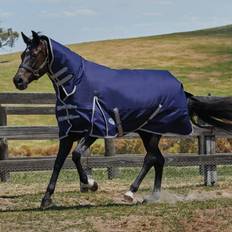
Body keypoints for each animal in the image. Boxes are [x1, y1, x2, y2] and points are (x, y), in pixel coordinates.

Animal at [13, 30, 232, 208]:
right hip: (147, 132)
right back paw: (153, 196)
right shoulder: (67, 134)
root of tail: (182, 90)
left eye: (34, 54)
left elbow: (76, 155)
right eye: (23, 54)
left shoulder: (95, 130)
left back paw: (130, 192)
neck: (76, 84)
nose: (18, 81)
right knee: (159, 159)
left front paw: (91, 184)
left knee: (151, 158)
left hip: (154, 132)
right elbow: (58, 163)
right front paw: (46, 199)